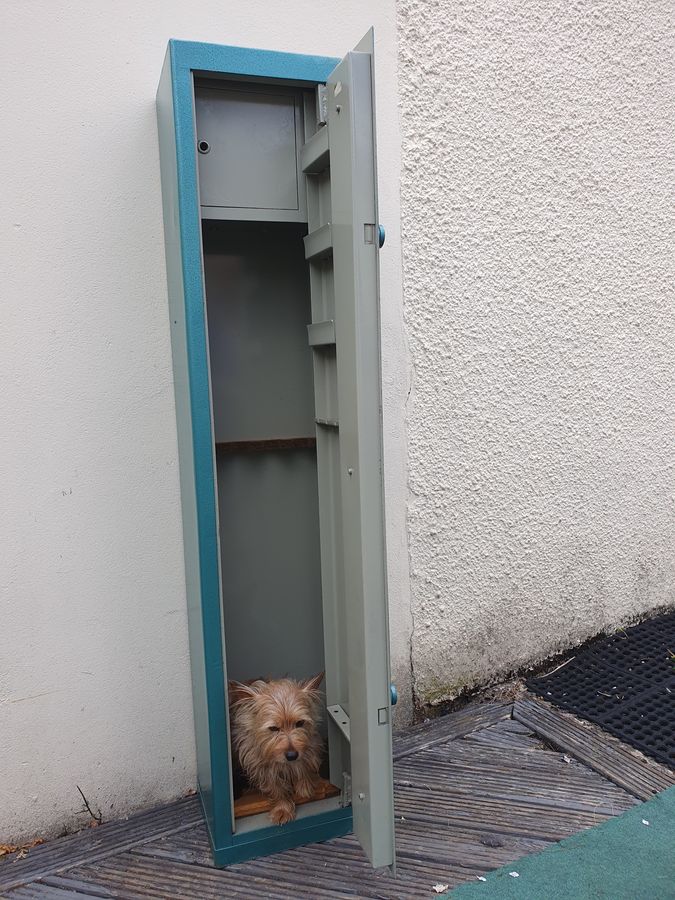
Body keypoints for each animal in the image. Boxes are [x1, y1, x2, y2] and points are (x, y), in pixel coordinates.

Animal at [230, 672, 324, 828]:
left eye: (300, 723)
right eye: (273, 728)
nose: (292, 755)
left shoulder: (308, 747)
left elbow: (303, 764)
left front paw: (303, 786)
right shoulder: (259, 763)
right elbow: (275, 787)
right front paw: (282, 809)